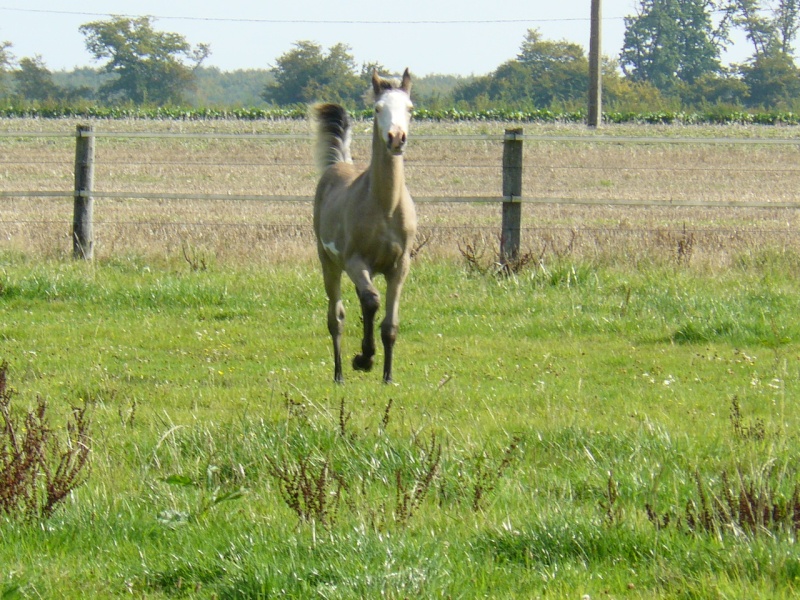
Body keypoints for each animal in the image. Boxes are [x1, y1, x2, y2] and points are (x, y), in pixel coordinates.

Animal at [310, 67, 416, 384]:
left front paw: (388, 376)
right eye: (378, 108)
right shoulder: (355, 261)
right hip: (329, 262)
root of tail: (340, 163)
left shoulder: (400, 266)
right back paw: (339, 374)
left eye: (410, 109)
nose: (396, 138)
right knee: (336, 317)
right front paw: (364, 358)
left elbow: (390, 324)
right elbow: (371, 300)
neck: (385, 207)